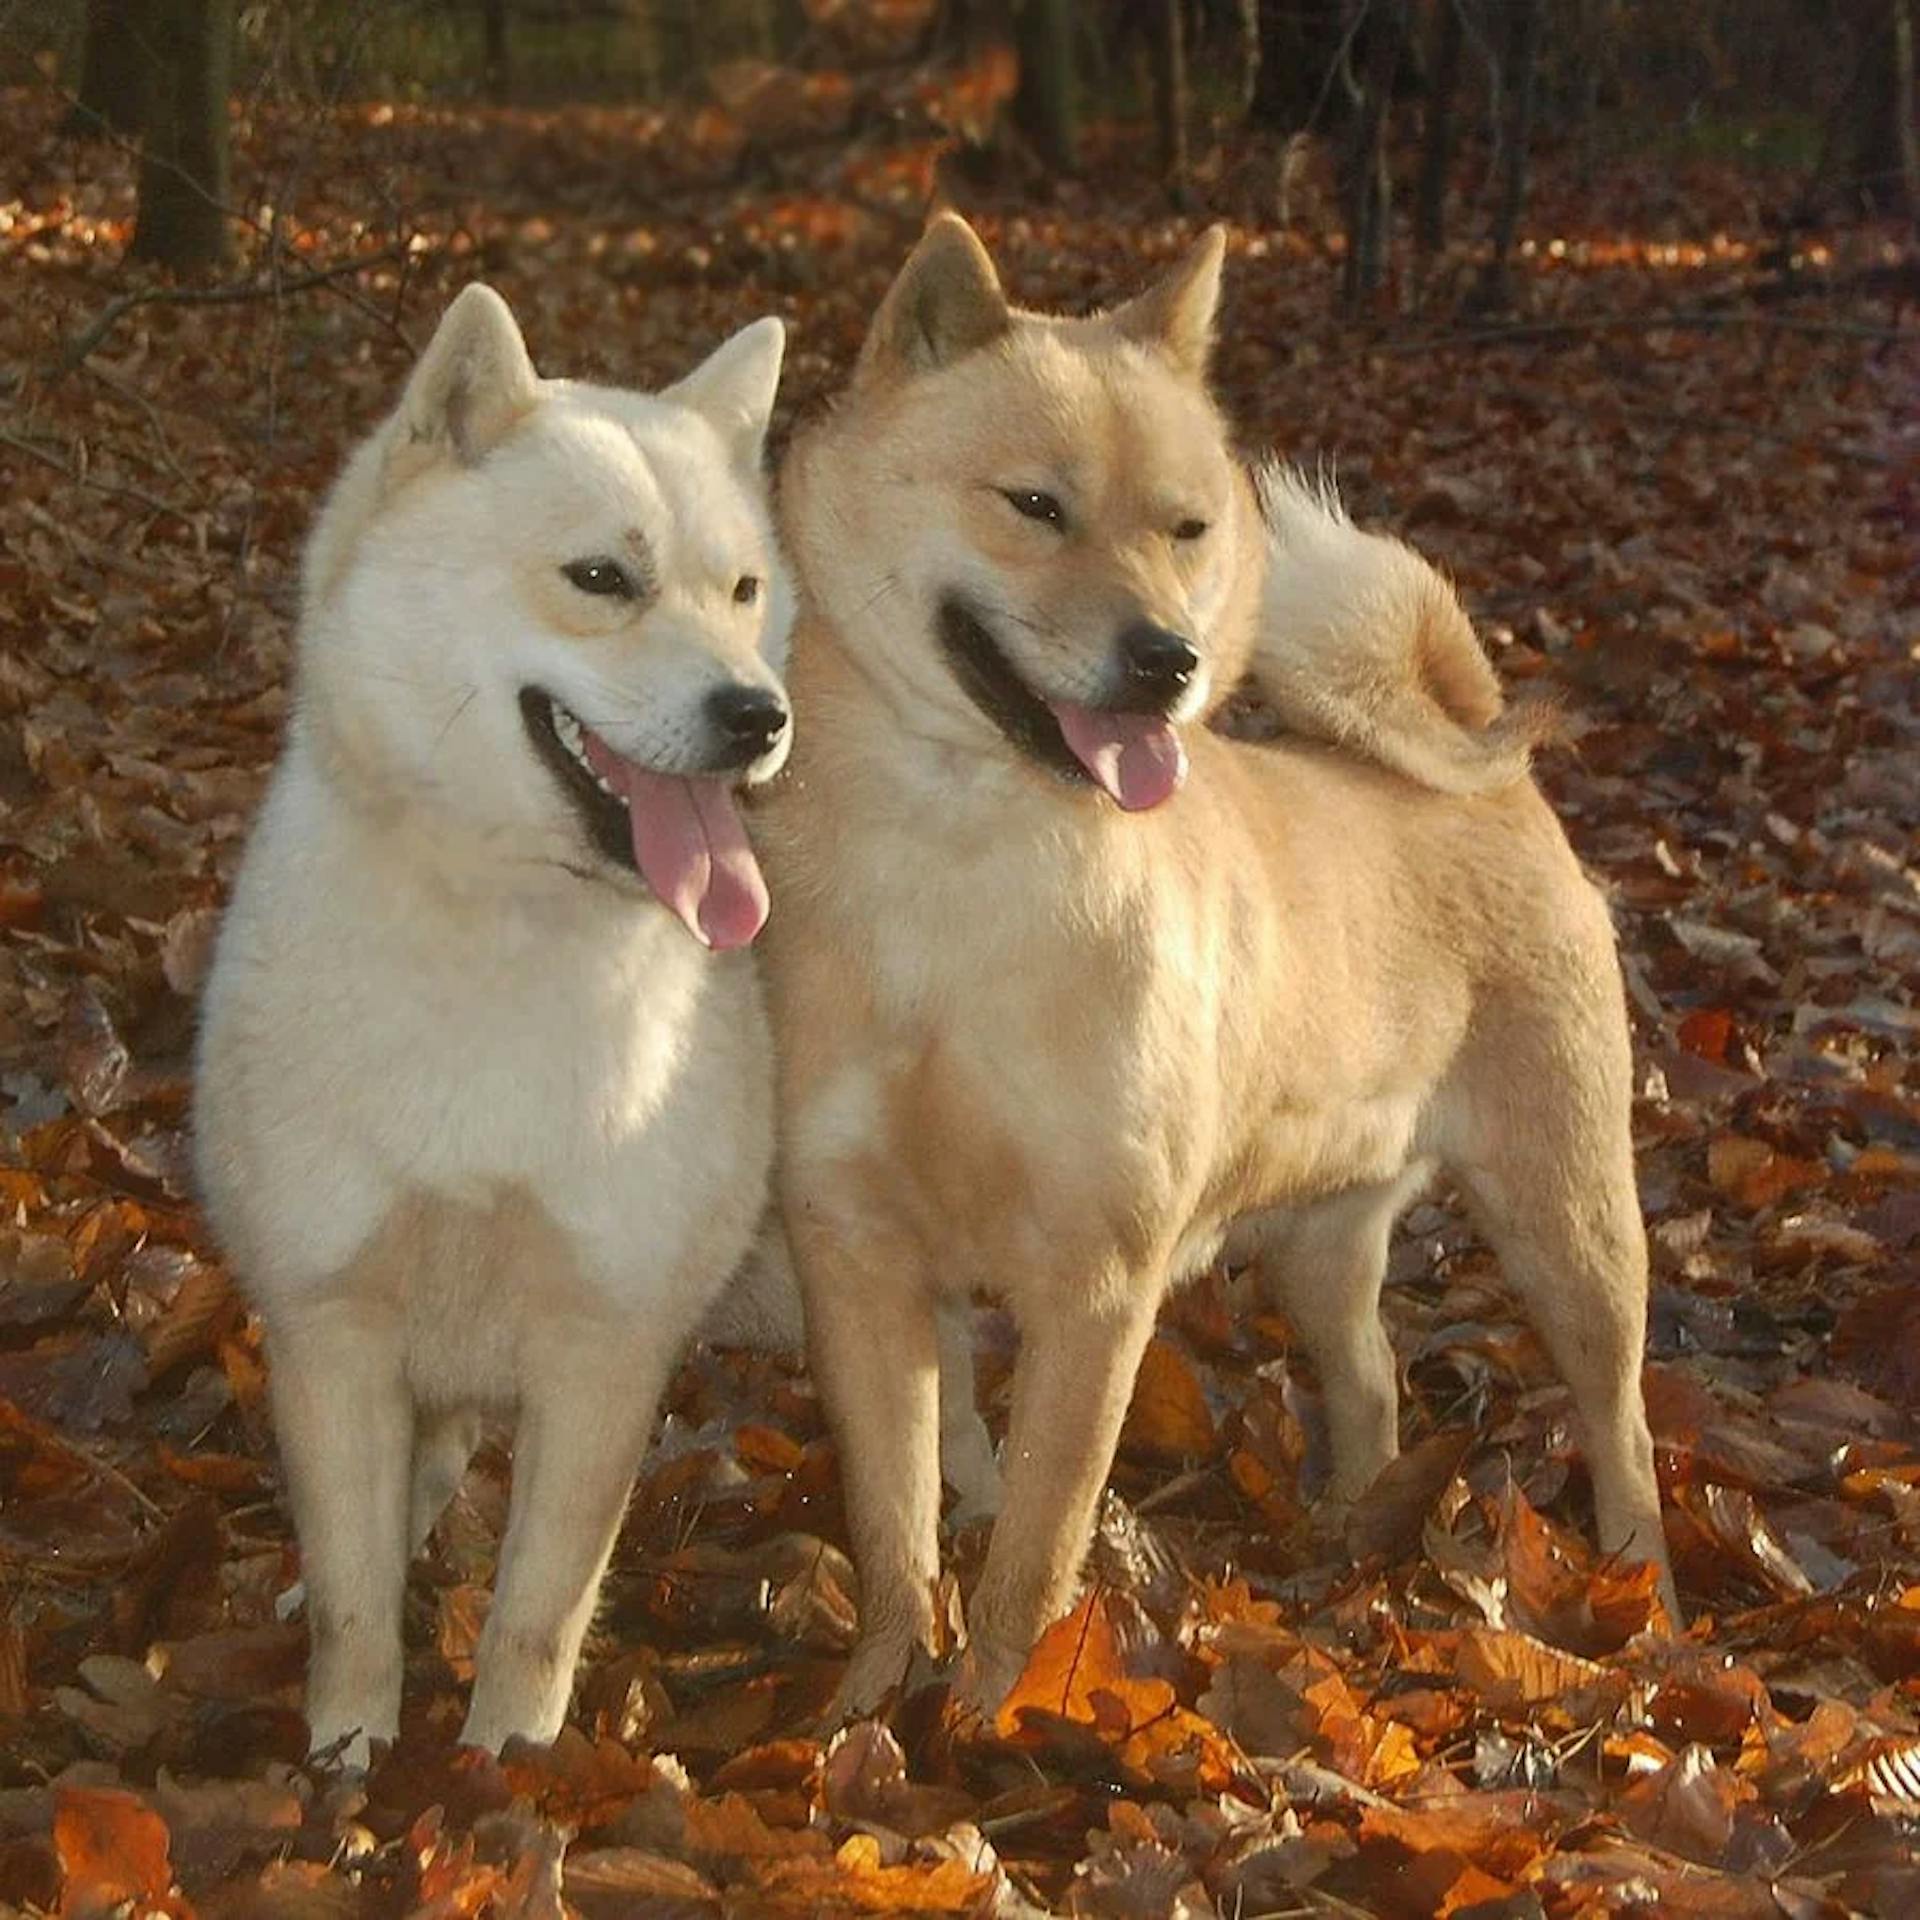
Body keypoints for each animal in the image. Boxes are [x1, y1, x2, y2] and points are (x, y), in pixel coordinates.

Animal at [752, 214, 1681, 1712]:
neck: (965, 864)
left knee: (1620, 1417)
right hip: (1320, 1242)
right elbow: (896, 1535)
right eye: (1035, 506)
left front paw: (991, 1719)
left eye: (1187, 529)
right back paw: (1351, 1536)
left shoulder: (1095, 1288)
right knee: (1373, 1384)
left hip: (1568, 1227)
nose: (1168, 660)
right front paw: (865, 1724)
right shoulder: (862, 1264)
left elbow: (1032, 1551)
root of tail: (1494, 781)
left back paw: (1643, 1592)